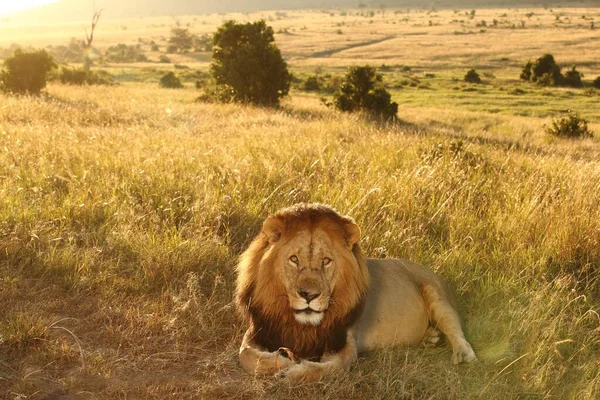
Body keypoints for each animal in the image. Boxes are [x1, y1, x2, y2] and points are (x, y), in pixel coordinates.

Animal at [237, 203, 476, 382]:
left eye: (326, 261)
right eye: (294, 259)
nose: (309, 295)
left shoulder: (345, 342)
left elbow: (329, 368)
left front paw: (292, 371)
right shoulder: (259, 329)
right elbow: (245, 355)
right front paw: (281, 361)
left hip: (436, 295)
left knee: (454, 327)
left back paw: (463, 354)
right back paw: (430, 337)